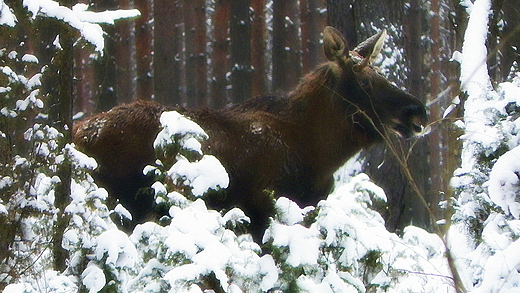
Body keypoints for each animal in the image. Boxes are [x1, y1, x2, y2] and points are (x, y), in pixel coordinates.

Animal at [75, 26, 428, 241]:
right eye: (367, 82)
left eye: (381, 74)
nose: (418, 111)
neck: (319, 154)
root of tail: (77, 134)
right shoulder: (262, 208)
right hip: (123, 205)